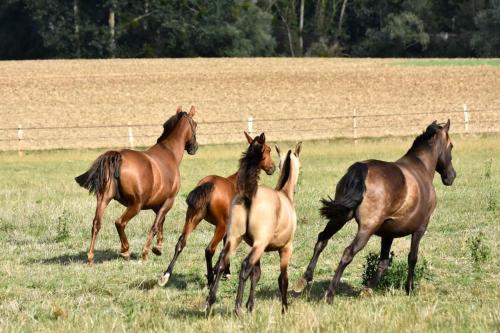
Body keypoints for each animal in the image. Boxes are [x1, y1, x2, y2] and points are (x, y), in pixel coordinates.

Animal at [75, 105, 198, 264]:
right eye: (195, 124)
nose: (194, 147)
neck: (169, 153)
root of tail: (118, 156)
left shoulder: (156, 204)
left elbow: (160, 222)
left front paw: (158, 247)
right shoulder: (169, 201)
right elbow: (155, 225)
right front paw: (147, 252)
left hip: (104, 199)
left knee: (96, 223)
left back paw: (90, 257)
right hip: (135, 205)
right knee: (119, 222)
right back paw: (125, 251)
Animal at [158, 131, 276, 286]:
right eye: (268, 149)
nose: (273, 168)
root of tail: (208, 184)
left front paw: (226, 271)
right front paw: (221, 272)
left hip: (193, 218)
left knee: (181, 242)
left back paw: (166, 275)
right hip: (220, 225)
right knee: (209, 249)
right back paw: (210, 280)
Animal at [206, 139, 302, 314]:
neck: (284, 196)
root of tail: (248, 195)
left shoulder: (257, 247)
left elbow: (256, 275)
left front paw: (250, 306)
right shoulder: (285, 248)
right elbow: (283, 279)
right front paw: (284, 309)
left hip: (234, 239)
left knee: (222, 263)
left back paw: (210, 302)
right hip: (258, 244)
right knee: (244, 266)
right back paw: (237, 307)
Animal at [294, 119, 456, 300]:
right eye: (451, 146)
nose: (451, 176)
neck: (421, 168)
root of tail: (361, 168)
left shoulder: (388, 233)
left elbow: (383, 262)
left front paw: (368, 289)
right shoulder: (420, 228)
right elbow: (412, 258)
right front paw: (409, 289)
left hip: (340, 217)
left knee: (322, 239)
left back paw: (304, 280)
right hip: (367, 228)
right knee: (348, 253)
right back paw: (330, 294)